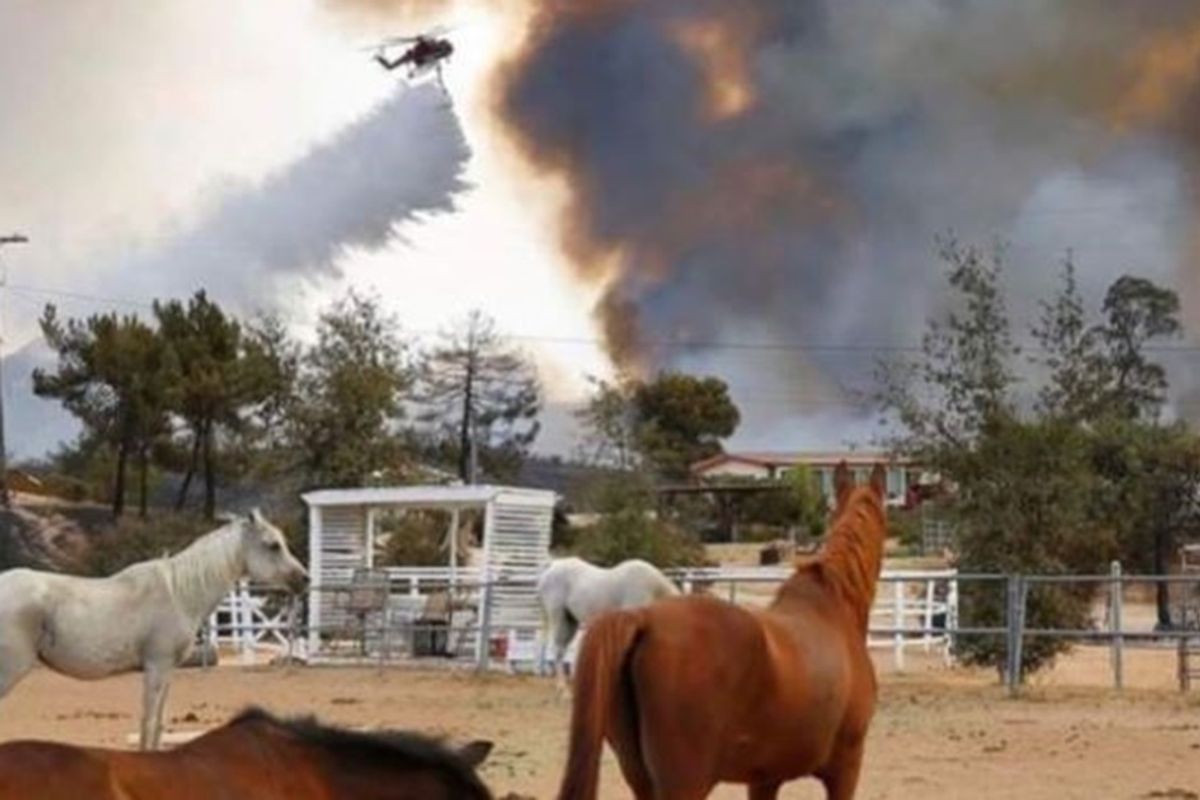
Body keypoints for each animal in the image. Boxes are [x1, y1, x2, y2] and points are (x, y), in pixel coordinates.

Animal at [0, 513, 307, 753]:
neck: (178, 593)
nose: (305, 579)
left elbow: (159, 724)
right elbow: (147, 723)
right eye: (273, 545)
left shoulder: (168, 671)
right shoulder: (156, 668)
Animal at [540, 556, 681, 690]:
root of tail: (552, 566)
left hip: (571, 621)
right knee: (558, 649)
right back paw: (562, 688)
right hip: (559, 617)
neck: (652, 590)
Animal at [556, 462, 888, 800]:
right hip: (685, 783)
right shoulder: (845, 769)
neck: (832, 608)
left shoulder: (765, 779)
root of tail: (644, 618)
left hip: (641, 779)